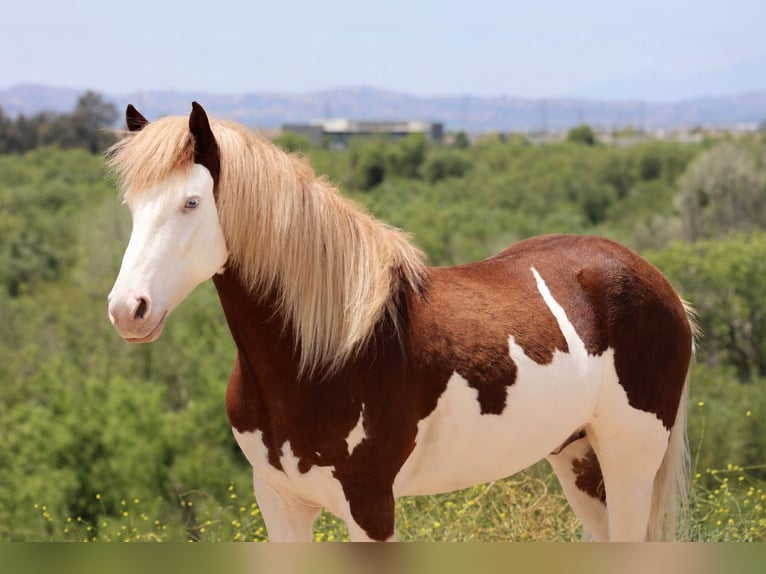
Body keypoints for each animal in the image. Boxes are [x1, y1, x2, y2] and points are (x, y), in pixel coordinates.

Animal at [106, 102, 695, 542]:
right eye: (131, 206)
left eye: (191, 202)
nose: (127, 309)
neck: (323, 354)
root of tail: (660, 284)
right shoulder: (279, 502)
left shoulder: (369, 505)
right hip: (578, 459)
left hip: (630, 460)